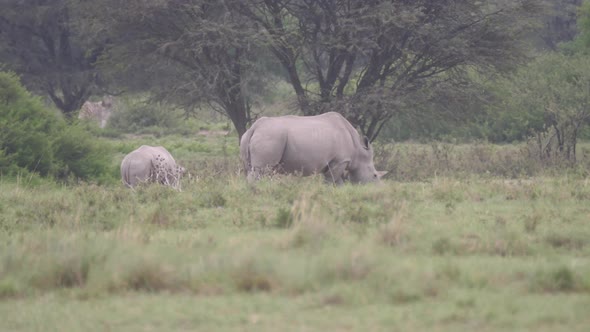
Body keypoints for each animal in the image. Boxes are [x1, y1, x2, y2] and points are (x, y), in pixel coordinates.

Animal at [240, 113, 388, 185]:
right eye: (375, 176)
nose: (378, 189)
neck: (358, 151)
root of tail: (254, 127)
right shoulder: (340, 161)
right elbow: (331, 181)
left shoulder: (336, 162)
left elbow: (338, 183)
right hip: (271, 136)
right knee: (261, 171)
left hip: (249, 137)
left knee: (251, 169)